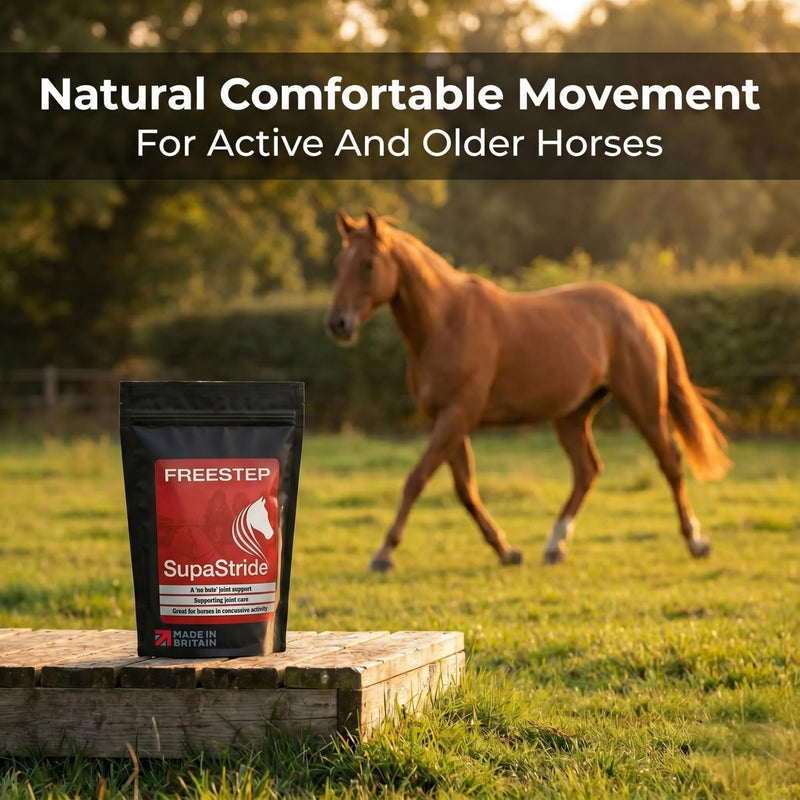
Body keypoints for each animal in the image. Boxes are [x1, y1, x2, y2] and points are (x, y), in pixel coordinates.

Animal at [325, 208, 731, 571]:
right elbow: (465, 489)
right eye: (339, 262)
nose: (338, 324)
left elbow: (417, 480)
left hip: (644, 405)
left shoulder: (457, 416)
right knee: (587, 471)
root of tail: (640, 307)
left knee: (670, 462)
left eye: (367, 264)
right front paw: (507, 551)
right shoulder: (446, 419)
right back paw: (554, 547)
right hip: (572, 415)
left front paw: (383, 554)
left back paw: (696, 542)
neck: (446, 322)